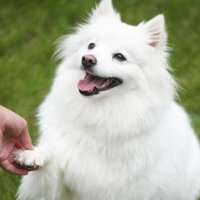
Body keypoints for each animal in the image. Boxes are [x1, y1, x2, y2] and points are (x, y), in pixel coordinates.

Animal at [15, 0, 200, 200]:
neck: (101, 113)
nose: (87, 59)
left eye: (119, 57)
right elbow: (51, 159)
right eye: (91, 46)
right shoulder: (59, 183)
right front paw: (32, 155)